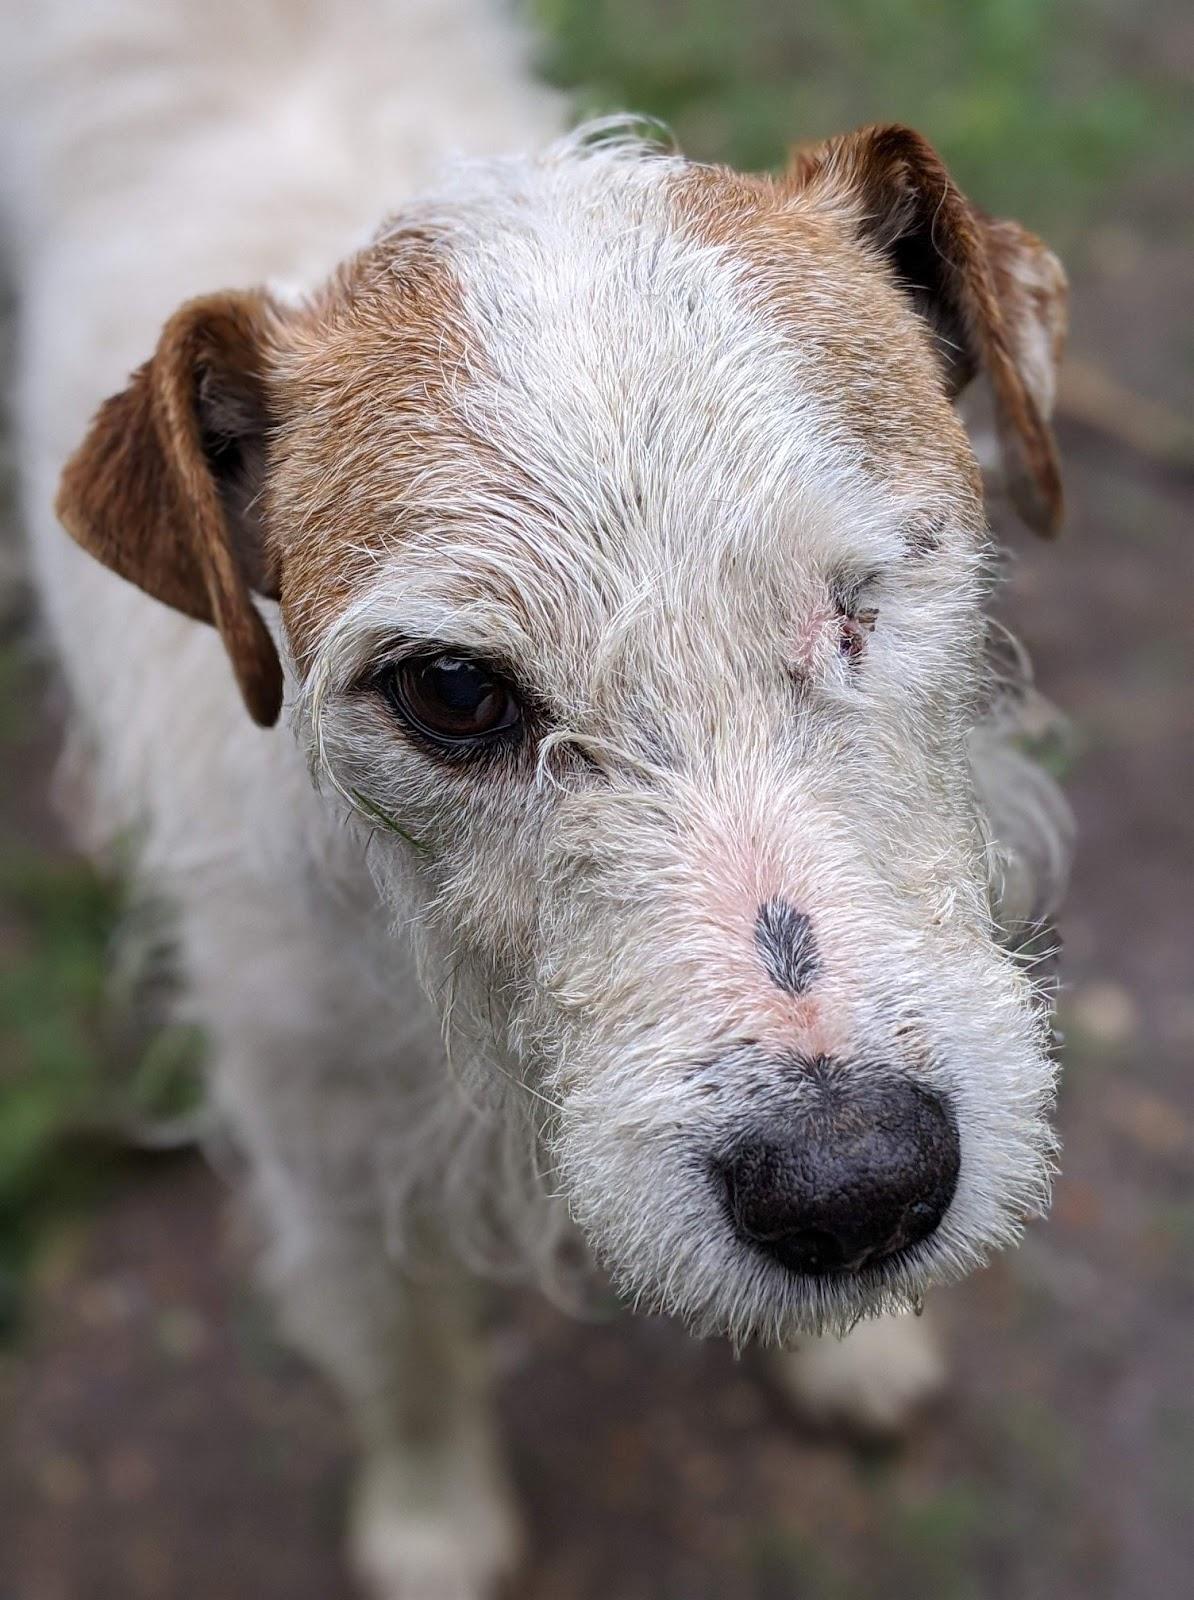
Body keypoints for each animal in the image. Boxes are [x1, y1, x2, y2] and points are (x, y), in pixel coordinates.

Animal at [2, 3, 1069, 1600]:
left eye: (871, 587)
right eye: (452, 690)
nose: (853, 1188)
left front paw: (857, 1358)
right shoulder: (327, 1152)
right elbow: (404, 1360)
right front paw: (434, 1523)